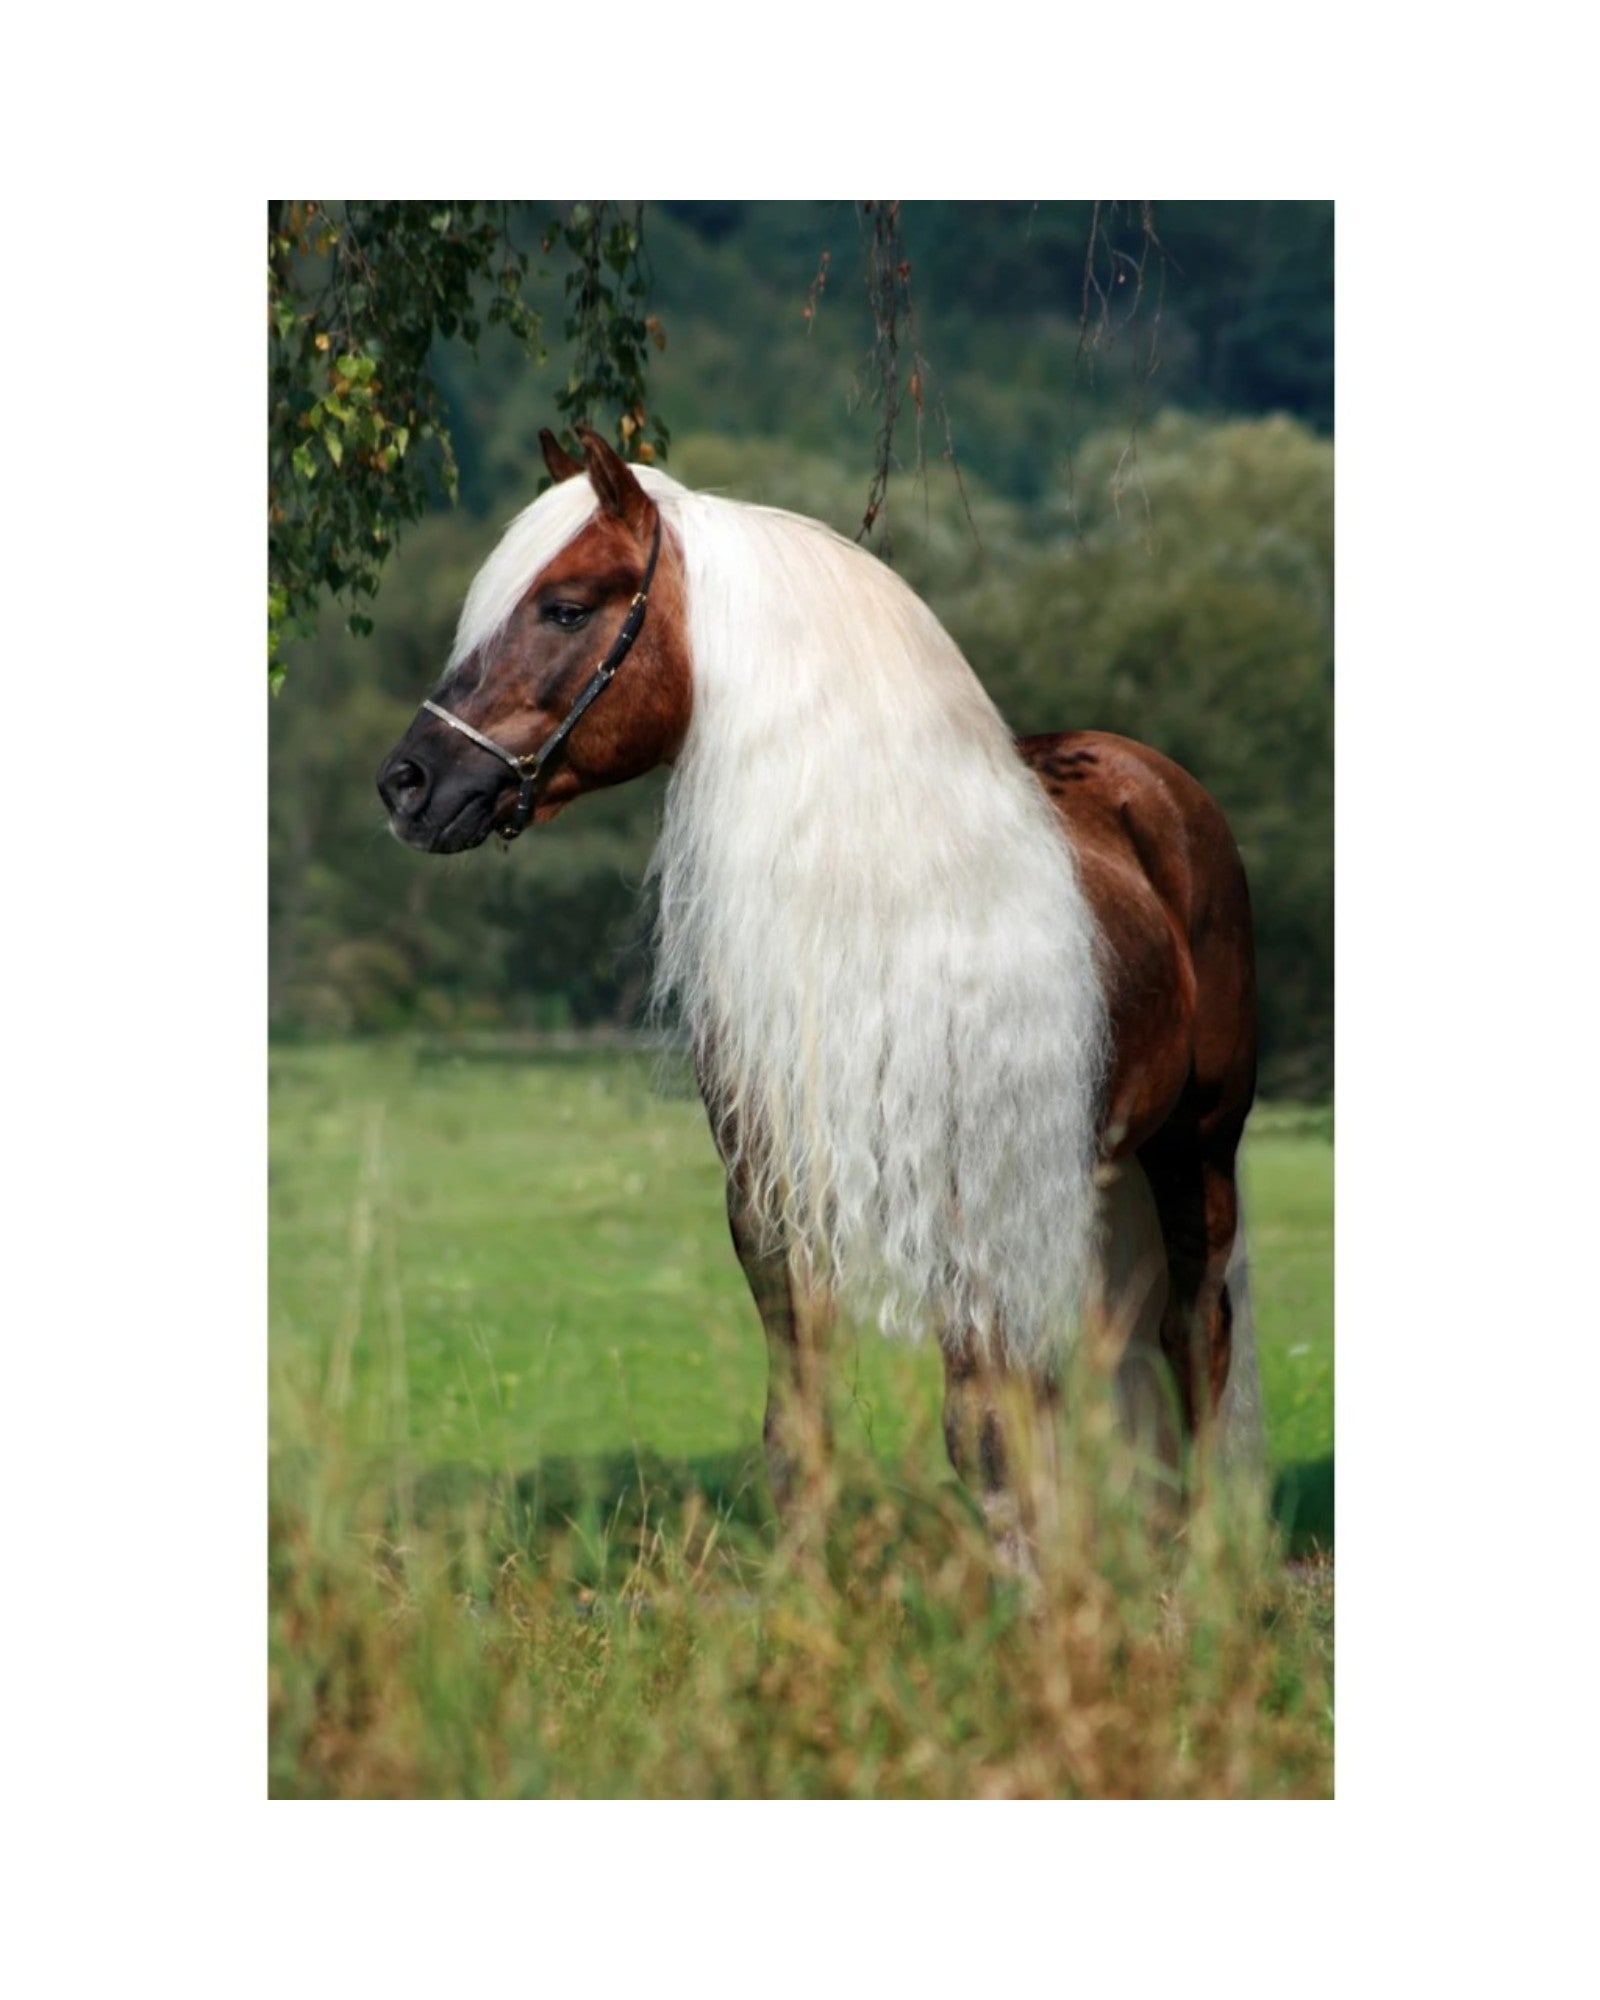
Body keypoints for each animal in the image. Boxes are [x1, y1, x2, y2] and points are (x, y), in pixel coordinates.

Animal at [378, 424, 1261, 1552]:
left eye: (568, 605)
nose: (407, 785)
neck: (874, 906)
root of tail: (1157, 784)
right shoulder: (772, 1207)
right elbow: (801, 1438)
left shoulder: (971, 1202)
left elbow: (985, 1433)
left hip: (1198, 1147)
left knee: (1197, 1339)